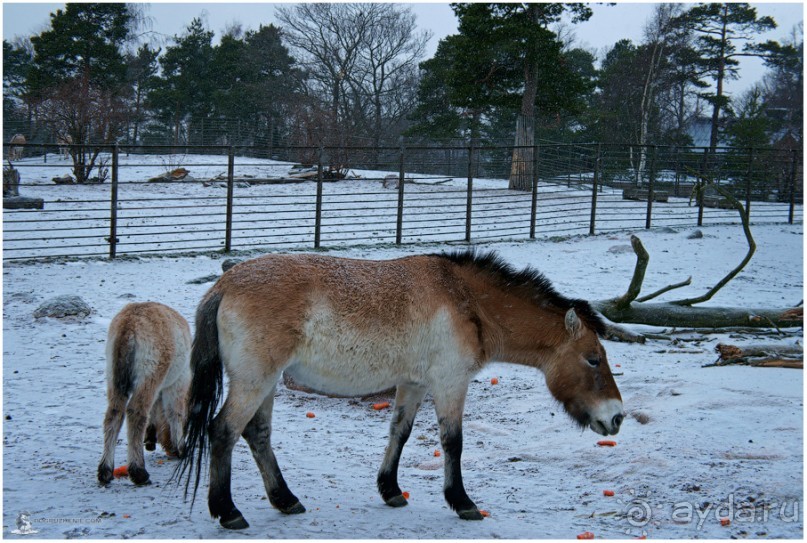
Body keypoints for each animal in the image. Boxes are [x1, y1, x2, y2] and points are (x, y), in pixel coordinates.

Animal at [97, 304, 192, 486]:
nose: (169, 448)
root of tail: (128, 327)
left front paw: (151, 437)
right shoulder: (178, 381)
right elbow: (175, 412)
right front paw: (181, 448)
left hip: (115, 376)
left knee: (113, 414)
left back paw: (105, 471)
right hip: (150, 373)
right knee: (136, 413)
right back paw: (139, 472)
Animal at [177, 252, 624, 532]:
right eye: (593, 359)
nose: (616, 416)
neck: (467, 301)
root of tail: (224, 285)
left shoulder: (414, 384)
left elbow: (400, 433)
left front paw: (390, 490)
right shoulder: (449, 383)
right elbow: (453, 442)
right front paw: (462, 502)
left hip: (266, 382)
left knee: (257, 435)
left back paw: (285, 500)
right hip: (255, 381)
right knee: (223, 432)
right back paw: (228, 511)